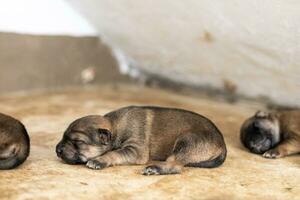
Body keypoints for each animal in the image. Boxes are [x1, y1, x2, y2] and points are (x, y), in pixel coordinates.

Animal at [56, 105, 226, 176]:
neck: (115, 126)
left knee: (176, 165)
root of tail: (222, 143)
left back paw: (155, 169)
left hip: (186, 141)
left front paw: (99, 160)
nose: (57, 150)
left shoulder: (135, 150)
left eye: (78, 142)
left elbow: (113, 153)